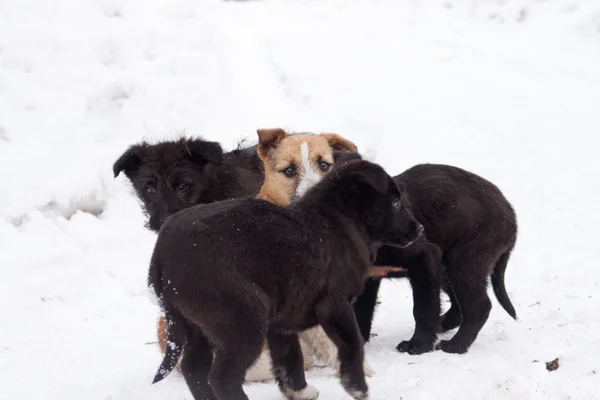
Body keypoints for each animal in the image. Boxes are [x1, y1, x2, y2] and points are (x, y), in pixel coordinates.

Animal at [149, 159, 422, 400]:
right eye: (395, 202)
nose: (419, 229)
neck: (341, 220)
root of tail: (163, 253)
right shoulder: (334, 303)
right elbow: (352, 344)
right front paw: (356, 386)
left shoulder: (282, 320)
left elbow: (290, 356)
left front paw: (299, 391)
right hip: (242, 320)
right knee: (222, 378)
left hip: (196, 323)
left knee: (194, 369)